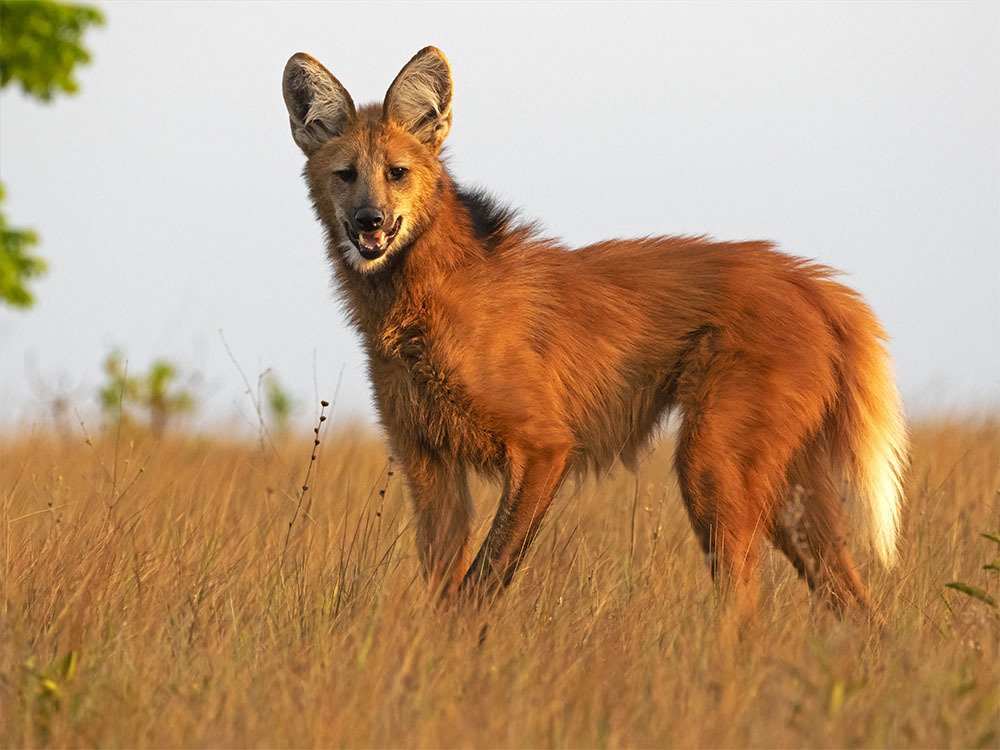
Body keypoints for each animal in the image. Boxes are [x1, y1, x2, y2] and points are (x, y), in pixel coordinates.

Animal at [281, 47, 908, 617]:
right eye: (346, 176)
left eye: (397, 173)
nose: (370, 222)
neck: (418, 303)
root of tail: (811, 279)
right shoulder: (427, 461)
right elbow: (448, 586)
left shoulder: (543, 447)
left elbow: (482, 583)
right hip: (786, 487)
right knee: (861, 611)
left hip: (711, 465)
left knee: (744, 606)